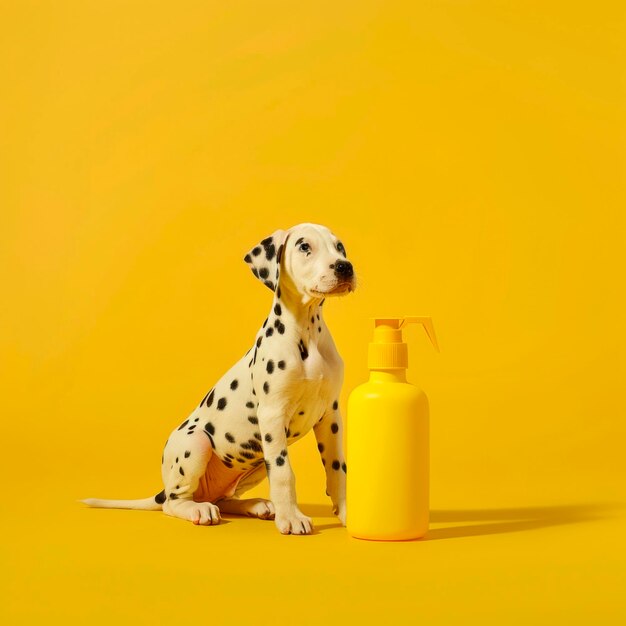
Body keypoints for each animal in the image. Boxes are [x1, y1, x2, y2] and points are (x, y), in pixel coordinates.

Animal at [81, 222, 356, 532]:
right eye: (304, 246)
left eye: (340, 247)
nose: (344, 267)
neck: (307, 332)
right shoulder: (272, 415)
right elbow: (284, 472)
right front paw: (291, 518)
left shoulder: (330, 416)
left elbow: (337, 470)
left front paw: (348, 514)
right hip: (197, 444)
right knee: (173, 502)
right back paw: (198, 510)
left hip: (255, 464)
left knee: (223, 499)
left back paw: (254, 505)